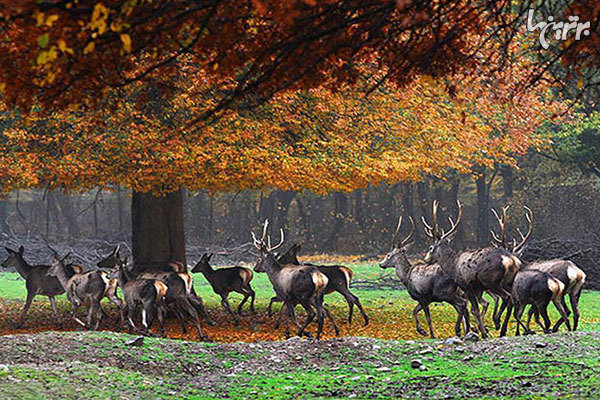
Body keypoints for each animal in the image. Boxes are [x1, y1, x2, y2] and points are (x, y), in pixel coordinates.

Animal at [420, 200, 524, 338]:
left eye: (431, 248)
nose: (425, 259)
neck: (453, 267)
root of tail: (510, 259)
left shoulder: (467, 286)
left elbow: (472, 308)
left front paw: (470, 331)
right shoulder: (477, 288)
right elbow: (476, 310)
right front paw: (479, 330)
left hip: (491, 281)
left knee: (506, 297)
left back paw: (497, 322)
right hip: (509, 281)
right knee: (512, 299)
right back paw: (503, 329)